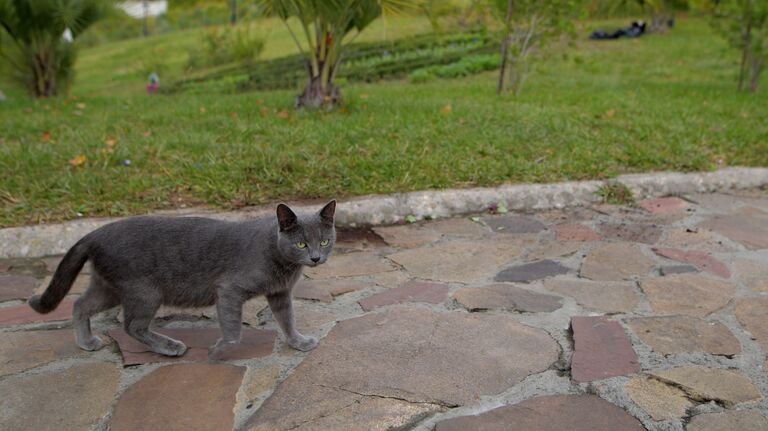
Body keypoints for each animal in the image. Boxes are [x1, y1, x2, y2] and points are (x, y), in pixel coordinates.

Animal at [28, 201, 334, 360]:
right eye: (301, 244)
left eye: (324, 241)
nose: (316, 258)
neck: (283, 264)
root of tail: (95, 233)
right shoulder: (229, 291)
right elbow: (234, 331)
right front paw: (218, 350)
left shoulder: (280, 293)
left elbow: (287, 319)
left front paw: (298, 341)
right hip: (144, 291)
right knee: (132, 326)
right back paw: (169, 347)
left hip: (109, 287)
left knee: (80, 304)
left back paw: (86, 342)